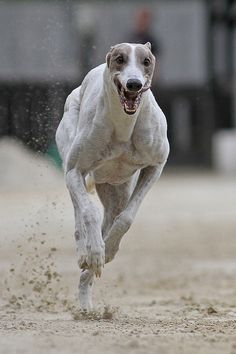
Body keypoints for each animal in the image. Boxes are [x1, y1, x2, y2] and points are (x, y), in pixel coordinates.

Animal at [56, 42, 169, 310]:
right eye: (120, 59)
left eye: (146, 61)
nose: (134, 84)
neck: (123, 124)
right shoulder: (75, 170)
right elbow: (88, 212)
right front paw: (95, 251)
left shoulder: (156, 165)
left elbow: (126, 218)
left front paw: (107, 251)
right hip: (71, 165)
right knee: (79, 213)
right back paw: (85, 252)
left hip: (116, 190)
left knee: (111, 216)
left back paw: (87, 295)